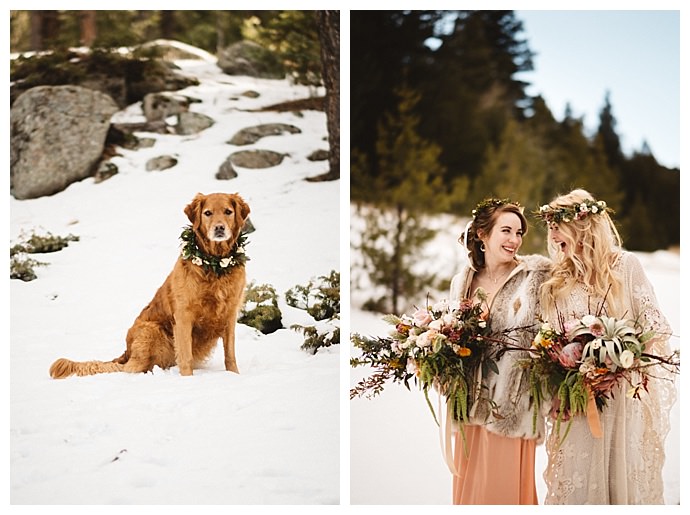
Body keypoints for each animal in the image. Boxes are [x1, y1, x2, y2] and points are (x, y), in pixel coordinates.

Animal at [50, 192, 250, 378]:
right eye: (208, 213)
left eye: (228, 212)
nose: (219, 228)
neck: (215, 265)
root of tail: (127, 351)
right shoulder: (184, 316)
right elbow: (185, 356)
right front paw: (188, 380)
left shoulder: (230, 315)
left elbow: (230, 355)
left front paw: (235, 375)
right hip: (151, 330)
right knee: (128, 368)